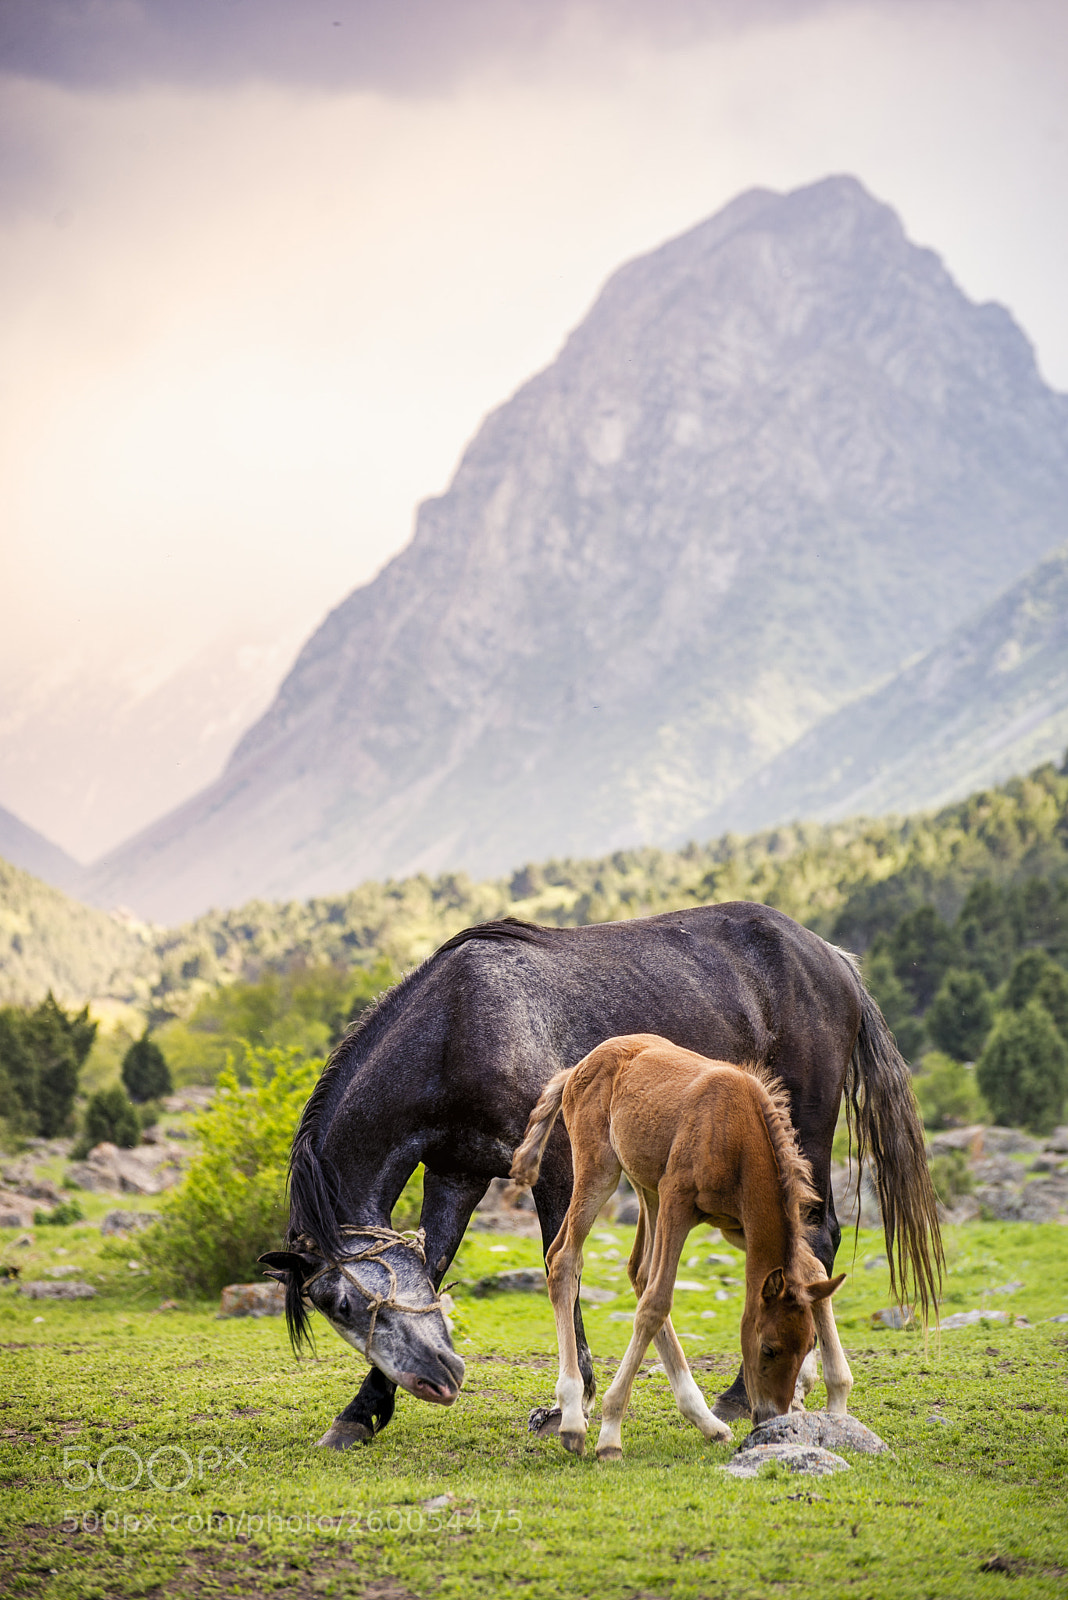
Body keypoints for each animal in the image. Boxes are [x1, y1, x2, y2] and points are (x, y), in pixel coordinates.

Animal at [510, 1035, 850, 1459]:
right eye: (769, 1348)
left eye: (807, 1347)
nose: (771, 1416)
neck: (739, 1133)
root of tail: (577, 1068)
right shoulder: (679, 1199)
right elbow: (656, 1303)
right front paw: (610, 1434)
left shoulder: (737, 1227)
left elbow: (814, 1270)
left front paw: (838, 1407)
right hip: (601, 1170)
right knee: (564, 1260)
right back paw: (573, 1419)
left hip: (646, 1187)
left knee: (638, 1271)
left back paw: (707, 1422)